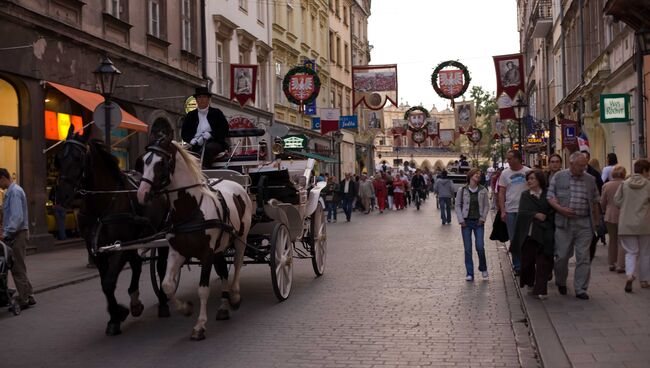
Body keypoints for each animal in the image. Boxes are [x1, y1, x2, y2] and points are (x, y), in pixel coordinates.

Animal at [54, 127, 170, 336]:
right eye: (58, 158)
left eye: (78, 157)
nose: (61, 196)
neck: (102, 205)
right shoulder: (96, 248)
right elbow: (105, 283)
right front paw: (116, 315)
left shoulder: (119, 246)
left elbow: (109, 282)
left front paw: (117, 315)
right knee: (137, 264)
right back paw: (135, 301)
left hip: (162, 233)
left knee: (161, 266)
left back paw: (163, 301)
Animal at [136, 139, 251, 340]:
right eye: (144, 161)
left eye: (161, 163)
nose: (142, 194)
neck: (191, 208)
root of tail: (236, 183)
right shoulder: (177, 252)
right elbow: (167, 285)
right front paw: (185, 308)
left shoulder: (206, 253)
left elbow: (203, 289)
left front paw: (200, 326)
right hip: (220, 248)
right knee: (223, 272)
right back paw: (223, 306)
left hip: (240, 238)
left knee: (237, 264)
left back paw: (235, 296)